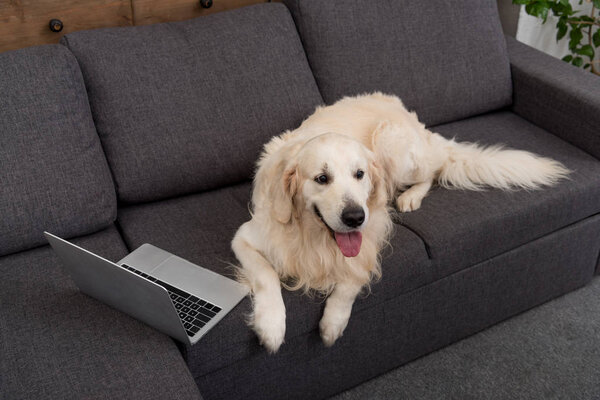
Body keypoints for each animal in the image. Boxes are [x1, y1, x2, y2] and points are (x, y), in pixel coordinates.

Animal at [231, 92, 572, 352]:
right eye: (321, 178)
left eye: (359, 174)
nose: (355, 218)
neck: (313, 235)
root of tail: (416, 123)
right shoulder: (246, 237)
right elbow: (266, 275)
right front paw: (271, 325)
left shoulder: (372, 232)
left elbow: (353, 278)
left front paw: (332, 323)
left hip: (392, 144)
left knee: (433, 173)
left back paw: (410, 197)